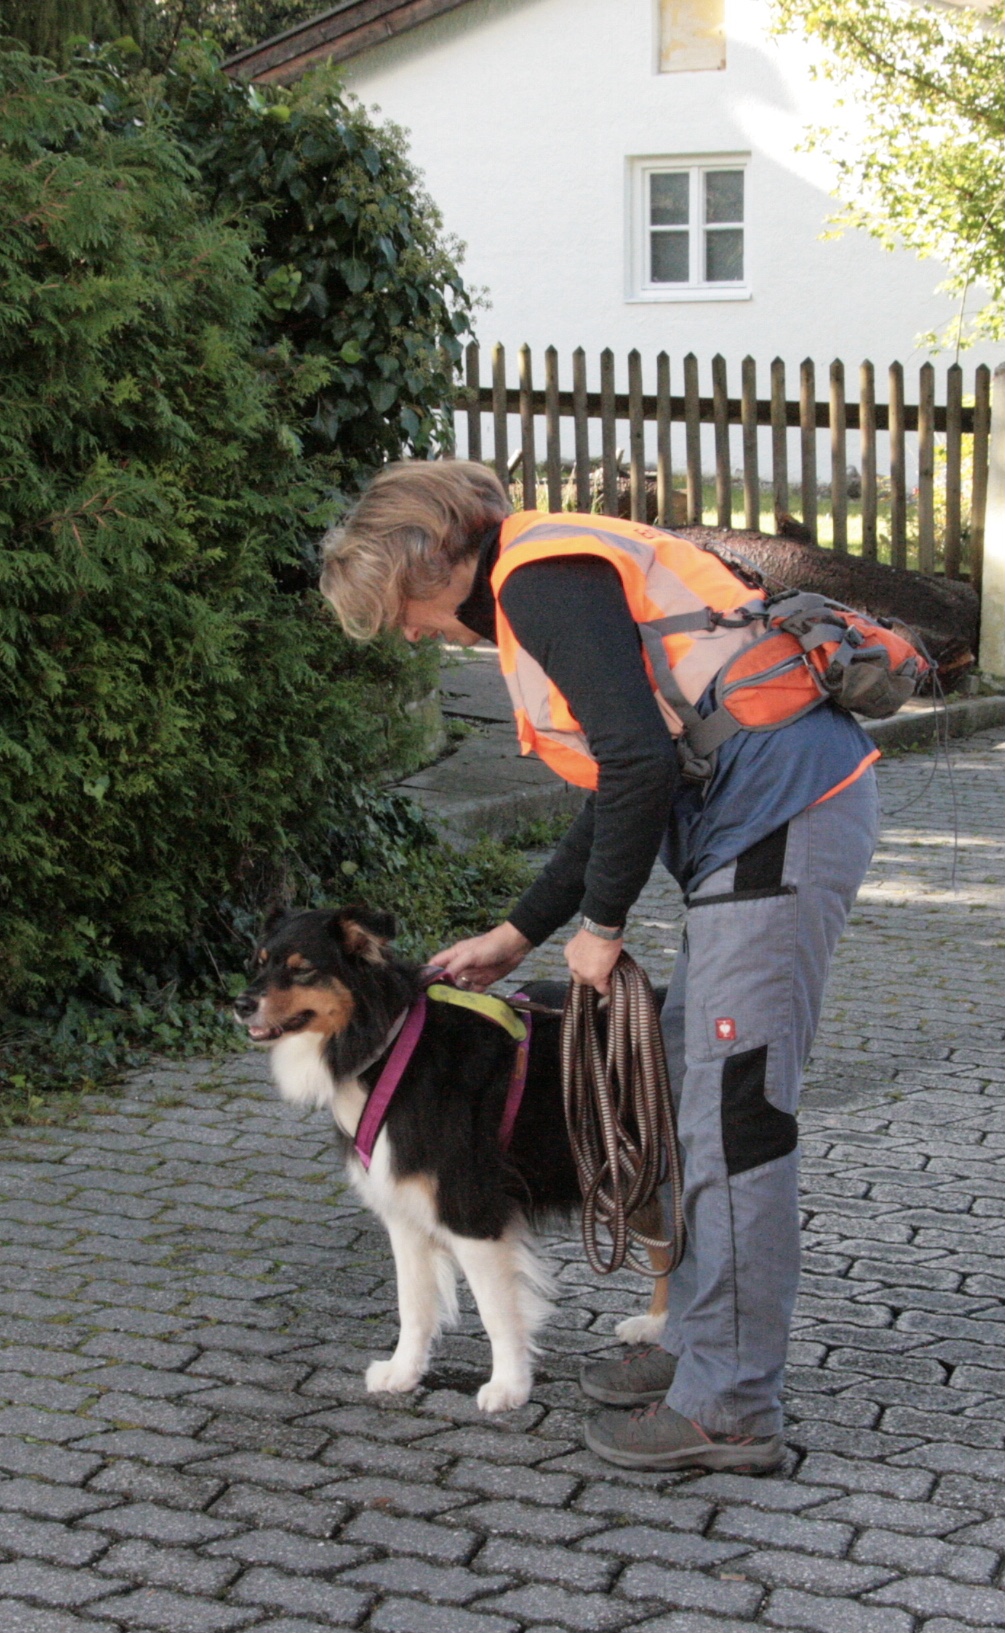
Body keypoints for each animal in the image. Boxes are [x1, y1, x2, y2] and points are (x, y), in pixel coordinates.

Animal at [234, 904, 671, 1412]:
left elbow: (496, 1310)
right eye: (259, 962)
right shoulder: (404, 1211)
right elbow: (413, 1304)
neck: (387, 1047)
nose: (240, 1004)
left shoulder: (470, 1210)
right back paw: (657, 1326)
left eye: (302, 968)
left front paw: (509, 1387)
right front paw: (404, 1372)